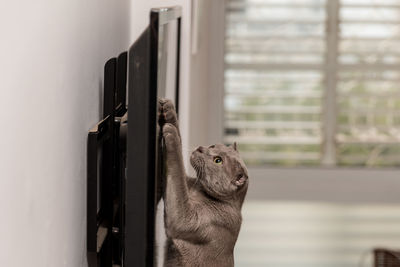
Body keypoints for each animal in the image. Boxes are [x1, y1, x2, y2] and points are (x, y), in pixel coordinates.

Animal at [159, 99, 247, 267]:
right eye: (212, 146)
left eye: (217, 160)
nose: (201, 148)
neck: (198, 191)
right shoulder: (187, 186)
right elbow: (180, 170)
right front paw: (169, 109)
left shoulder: (188, 219)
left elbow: (177, 168)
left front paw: (171, 134)